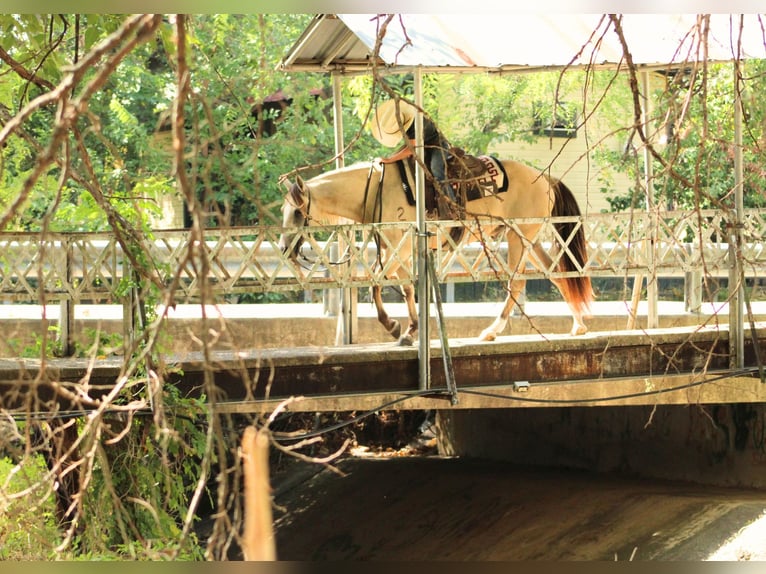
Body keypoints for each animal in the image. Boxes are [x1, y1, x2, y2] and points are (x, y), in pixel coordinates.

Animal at [278, 158, 593, 345]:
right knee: (559, 275)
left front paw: (393, 326)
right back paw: (578, 325)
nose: (283, 248)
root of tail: (545, 179)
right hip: (531, 240)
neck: (376, 192)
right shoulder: (397, 251)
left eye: (297, 212)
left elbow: (376, 284)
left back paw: (491, 330)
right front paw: (410, 329)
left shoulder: (399, 247)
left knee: (517, 282)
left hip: (519, 237)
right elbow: (406, 287)